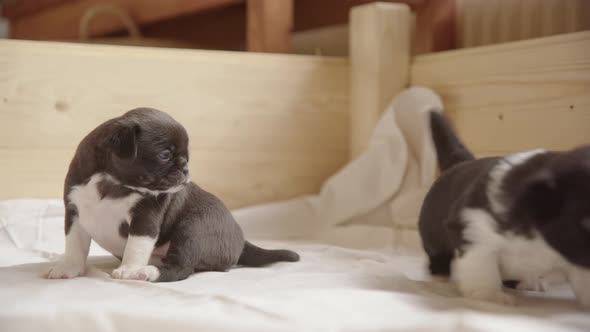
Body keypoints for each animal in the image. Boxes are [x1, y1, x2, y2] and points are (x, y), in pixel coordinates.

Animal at [45, 107, 300, 282]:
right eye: (165, 155)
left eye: (185, 155)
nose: (186, 168)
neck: (113, 182)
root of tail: (241, 239)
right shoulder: (75, 212)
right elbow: (75, 246)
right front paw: (68, 267)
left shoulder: (145, 218)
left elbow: (136, 246)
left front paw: (129, 269)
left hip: (193, 229)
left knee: (182, 268)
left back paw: (146, 272)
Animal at [420, 111, 590, 306]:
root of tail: (458, 164)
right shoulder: (472, 229)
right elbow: (483, 269)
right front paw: (490, 295)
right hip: (433, 237)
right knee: (438, 257)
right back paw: (438, 279)